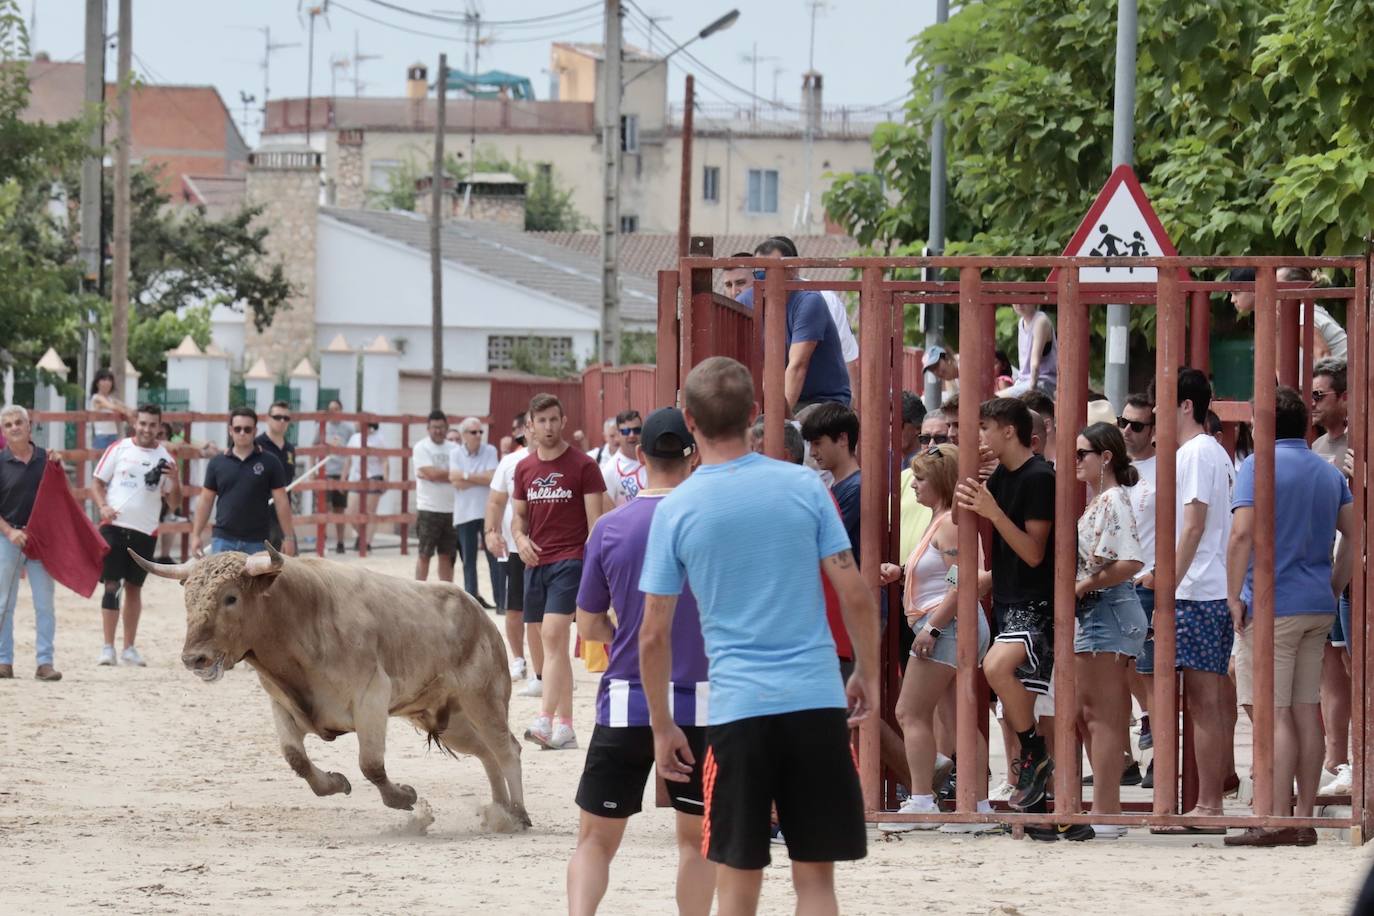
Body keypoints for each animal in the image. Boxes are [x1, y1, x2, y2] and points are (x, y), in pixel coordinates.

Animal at [129, 541, 524, 829]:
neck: (301, 617)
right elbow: (296, 758)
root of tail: (479, 614)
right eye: (188, 599)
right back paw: (500, 810)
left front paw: (405, 798)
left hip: (483, 701)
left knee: (506, 749)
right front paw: (335, 783)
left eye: (231, 597)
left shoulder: (371, 698)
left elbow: (371, 765)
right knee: (486, 752)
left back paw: (517, 814)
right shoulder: (282, 705)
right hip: (450, 719)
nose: (194, 658)